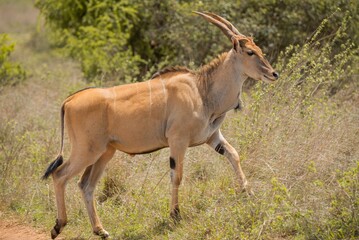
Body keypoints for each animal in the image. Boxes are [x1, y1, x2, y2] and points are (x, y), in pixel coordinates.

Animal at [41, 10, 278, 238]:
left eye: (259, 50)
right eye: (250, 52)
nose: (273, 73)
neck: (203, 90)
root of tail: (69, 100)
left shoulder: (212, 137)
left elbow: (234, 155)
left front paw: (248, 192)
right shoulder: (178, 141)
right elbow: (177, 176)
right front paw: (175, 215)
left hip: (105, 153)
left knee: (86, 185)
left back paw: (100, 230)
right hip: (87, 151)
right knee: (60, 175)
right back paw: (58, 226)